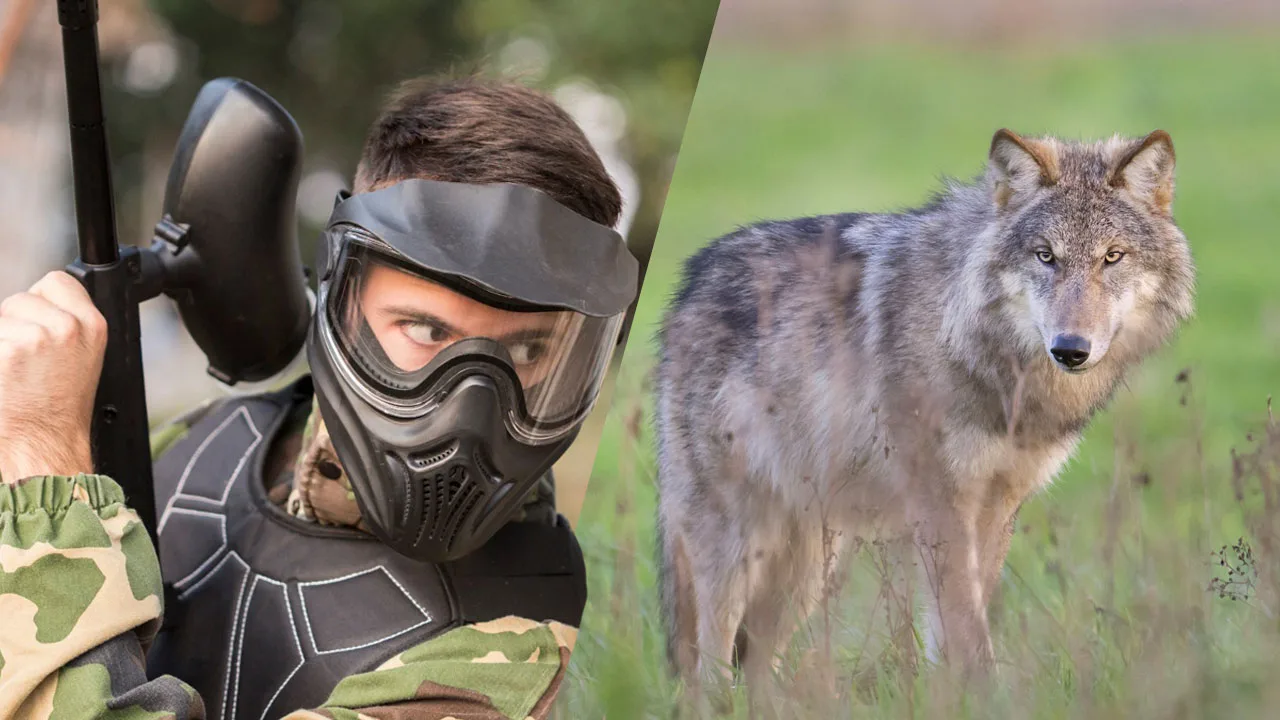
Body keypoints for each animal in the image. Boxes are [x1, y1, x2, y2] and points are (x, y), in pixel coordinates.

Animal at [655, 129, 1195, 704]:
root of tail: (689, 285)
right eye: (1046, 256)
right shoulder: (939, 501)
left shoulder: (997, 506)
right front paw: (981, 699)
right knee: (707, 661)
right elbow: (964, 622)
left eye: (1112, 257)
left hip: (810, 563)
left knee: (755, 663)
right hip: (736, 541)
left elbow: (957, 622)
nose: (1071, 349)